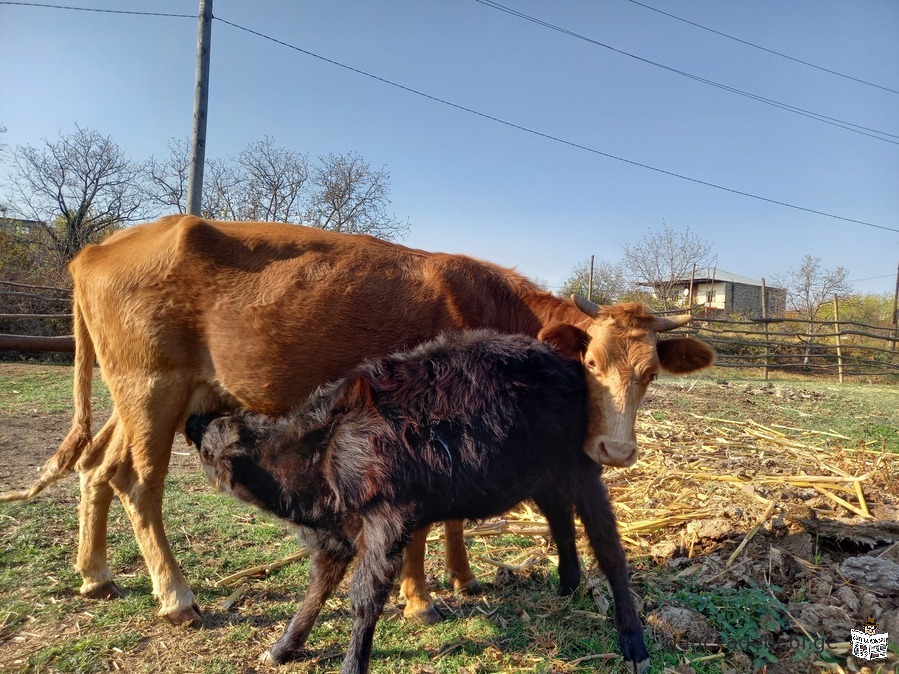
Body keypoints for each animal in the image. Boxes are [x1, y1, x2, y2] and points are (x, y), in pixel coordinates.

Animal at [1, 215, 716, 624]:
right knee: (138, 485)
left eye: (650, 374)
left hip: (141, 392)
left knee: (97, 468)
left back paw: (95, 575)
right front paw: (421, 599)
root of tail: (97, 249)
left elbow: (455, 517)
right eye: (589, 360)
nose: (616, 450)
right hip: (151, 386)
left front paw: (463, 578)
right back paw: (176, 597)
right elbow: (425, 522)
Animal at [186, 328, 652, 668]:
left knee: (609, 549)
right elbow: (317, 589)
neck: (323, 450)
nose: (193, 421)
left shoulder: (385, 522)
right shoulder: (336, 535)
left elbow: (364, 598)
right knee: (559, 519)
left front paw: (351, 664)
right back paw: (569, 583)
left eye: (210, 448)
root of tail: (561, 360)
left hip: (583, 468)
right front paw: (284, 647)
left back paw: (633, 642)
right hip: (543, 476)